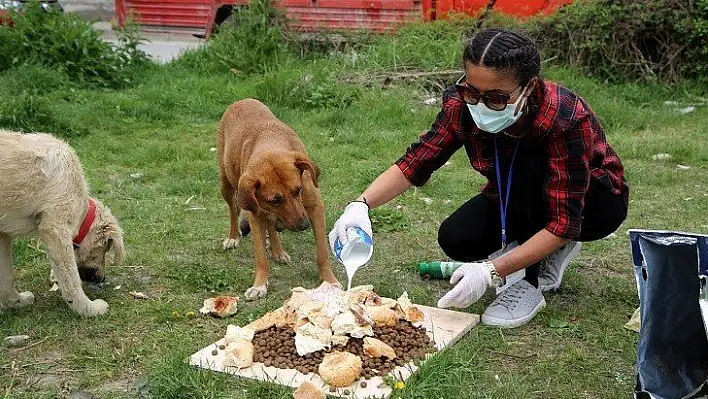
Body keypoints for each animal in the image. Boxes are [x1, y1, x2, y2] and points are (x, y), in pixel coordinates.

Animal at [0, 131, 124, 318]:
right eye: (104, 250)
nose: (101, 279)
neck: (83, 212)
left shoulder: (2, 235)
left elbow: (7, 275)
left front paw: (16, 302)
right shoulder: (55, 229)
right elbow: (71, 277)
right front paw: (88, 308)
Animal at [217, 99, 338, 300]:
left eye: (298, 190)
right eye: (275, 200)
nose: (304, 225)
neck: (270, 143)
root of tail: (242, 100)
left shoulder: (315, 208)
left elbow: (322, 253)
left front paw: (330, 281)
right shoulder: (255, 213)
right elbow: (260, 258)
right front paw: (259, 284)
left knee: (270, 225)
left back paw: (277, 251)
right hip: (226, 184)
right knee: (233, 211)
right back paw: (233, 237)